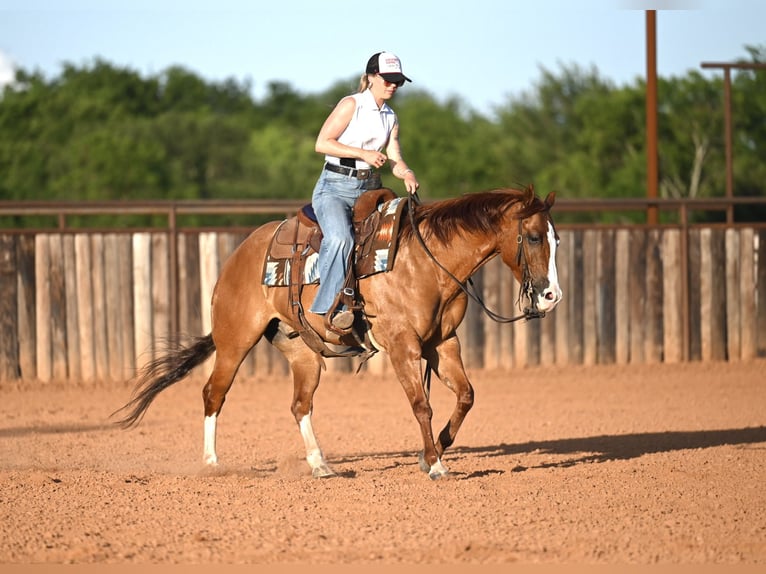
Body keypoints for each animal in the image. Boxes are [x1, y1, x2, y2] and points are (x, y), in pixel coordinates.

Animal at [113, 185, 562, 480]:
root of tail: (240, 254)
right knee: (213, 394)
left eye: (556, 238)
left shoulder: (442, 343)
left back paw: (321, 464)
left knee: (299, 405)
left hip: (303, 352)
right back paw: (211, 464)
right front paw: (434, 464)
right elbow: (421, 405)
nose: (551, 296)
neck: (427, 262)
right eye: (533, 236)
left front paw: (430, 453)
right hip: (234, 341)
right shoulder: (402, 346)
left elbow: (466, 396)